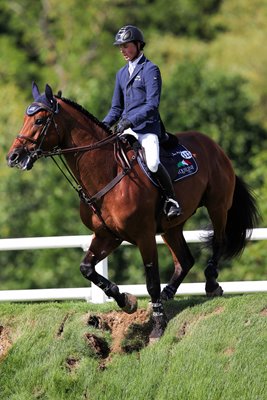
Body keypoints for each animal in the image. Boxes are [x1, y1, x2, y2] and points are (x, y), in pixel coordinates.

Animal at [6, 83, 260, 340]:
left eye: (39, 120)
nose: (13, 157)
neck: (107, 173)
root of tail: (213, 144)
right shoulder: (108, 236)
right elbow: (87, 268)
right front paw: (126, 301)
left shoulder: (144, 235)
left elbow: (151, 281)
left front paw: (157, 325)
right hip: (171, 227)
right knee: (185, 260)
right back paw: (169, 293)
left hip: (217, 205)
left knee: (218, 241)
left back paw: (211, 284)